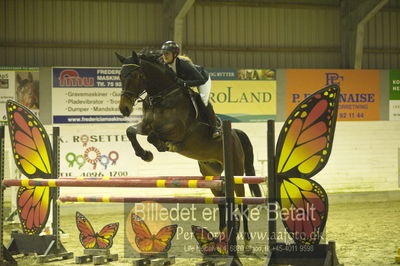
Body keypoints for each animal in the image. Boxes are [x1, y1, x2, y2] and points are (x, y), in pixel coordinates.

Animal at [115, 50, 262, 254]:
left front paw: (162, 147)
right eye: (121, 76)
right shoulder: (145, 125)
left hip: (237, 171)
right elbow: (131, 131)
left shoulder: (177, 130)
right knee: (223, 201)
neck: (162, 96)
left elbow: (153, 136)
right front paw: (146, 155)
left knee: (242, 205)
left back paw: (247, 244)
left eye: (136, 75)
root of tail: (235, 134)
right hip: (212, 174)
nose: (124, 108)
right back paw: (221, 241)